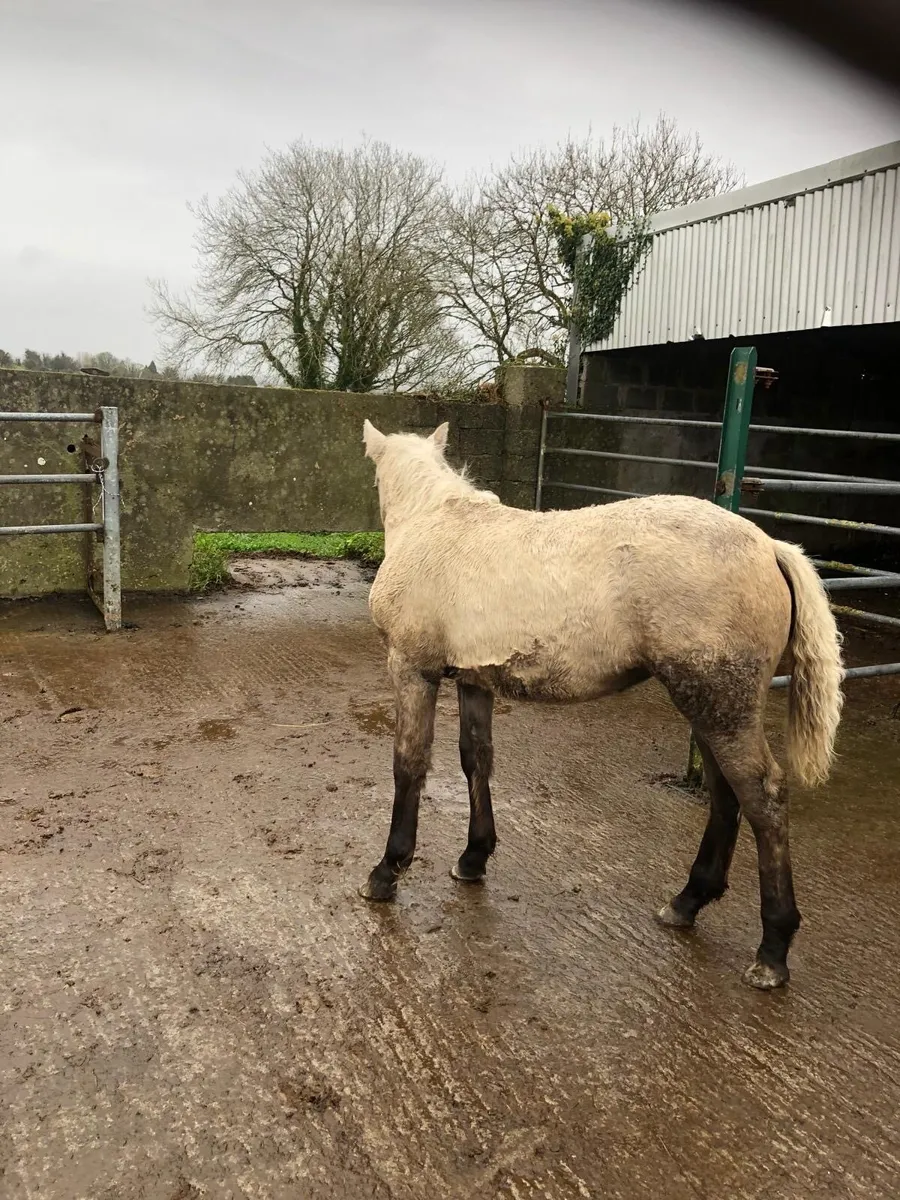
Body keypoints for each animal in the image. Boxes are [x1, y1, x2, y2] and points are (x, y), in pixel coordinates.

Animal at [358, 419, 843, 990]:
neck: (434, 526)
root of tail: (769, 546)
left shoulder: (412, 670)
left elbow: (409, 765)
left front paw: (386, 872)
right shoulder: (474, 681)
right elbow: (475, 760)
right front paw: (473, 858)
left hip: (721, 707)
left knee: (761, 796)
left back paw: (772, 950)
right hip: (708, 707)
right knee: (728, 795)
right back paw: (688, 901)